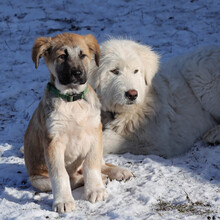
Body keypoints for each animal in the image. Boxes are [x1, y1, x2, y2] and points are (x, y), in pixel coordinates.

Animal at [24, 33, 133, 214]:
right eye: (62, 56)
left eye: (83, 55)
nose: (77, 73)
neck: (72, 100)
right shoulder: (53, 142)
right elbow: (60, 175)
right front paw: (63, 201)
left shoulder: (95, 133)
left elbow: (92, 165)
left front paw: (95, 189)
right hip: (38, 180)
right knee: (72, 178)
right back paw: (102, 178)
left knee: (100, 164)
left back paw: (118, 172)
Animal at [89, 39, 220, 156]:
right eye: (114, 71)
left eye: (136, 71)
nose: (132, 94)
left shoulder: (157, 141)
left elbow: (107, 139)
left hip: (200, 75)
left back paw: (215, 135)